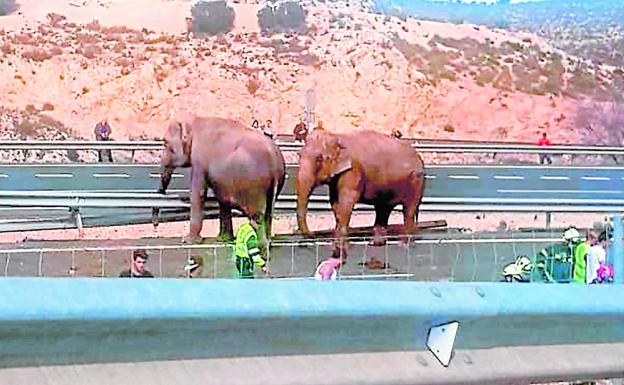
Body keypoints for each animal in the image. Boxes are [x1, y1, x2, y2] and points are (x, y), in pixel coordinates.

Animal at [296, 127, 424, 256]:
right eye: (299, 155)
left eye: (319, 159)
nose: (313, 234)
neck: (338, 137)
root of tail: (418, 156)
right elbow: (335, 203)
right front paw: (337, 247)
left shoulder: (353, 170)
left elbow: (347, 201)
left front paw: (340, 249)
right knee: (383, 209)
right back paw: (375, 243)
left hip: (415, 180)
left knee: (408, 210)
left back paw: (404, 245)